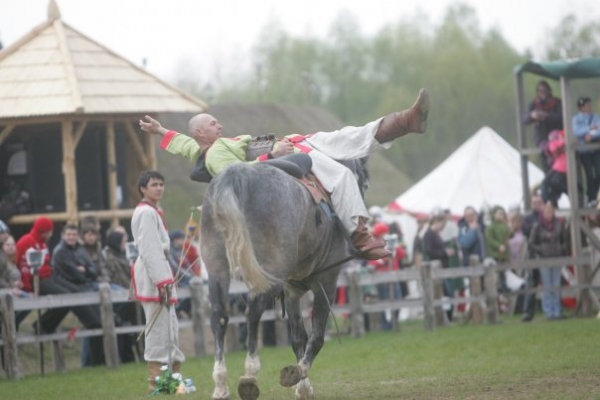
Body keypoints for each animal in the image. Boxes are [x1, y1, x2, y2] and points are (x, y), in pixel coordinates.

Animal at [202, 155, 370, 400]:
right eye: (364, 183)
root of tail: (235, 177)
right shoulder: (326, 282)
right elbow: (316, 336)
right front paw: (299, 374)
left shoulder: (292, 291)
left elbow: (299, 337)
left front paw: (303, 386)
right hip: (268, 273)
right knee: (254, 311)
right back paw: (250, 374)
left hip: (217, 271)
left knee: (219, 316)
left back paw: (220, 383)